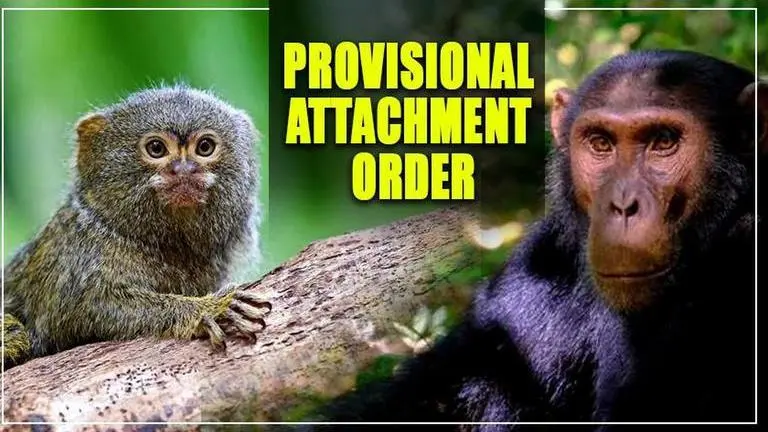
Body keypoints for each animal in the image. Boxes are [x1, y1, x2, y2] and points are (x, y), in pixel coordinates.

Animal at [2, 85, 271, 369]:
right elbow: (83, 308)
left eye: (205, 147)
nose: (184, 169)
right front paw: (206, 310)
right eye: (156, 148)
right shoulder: (74, 257)